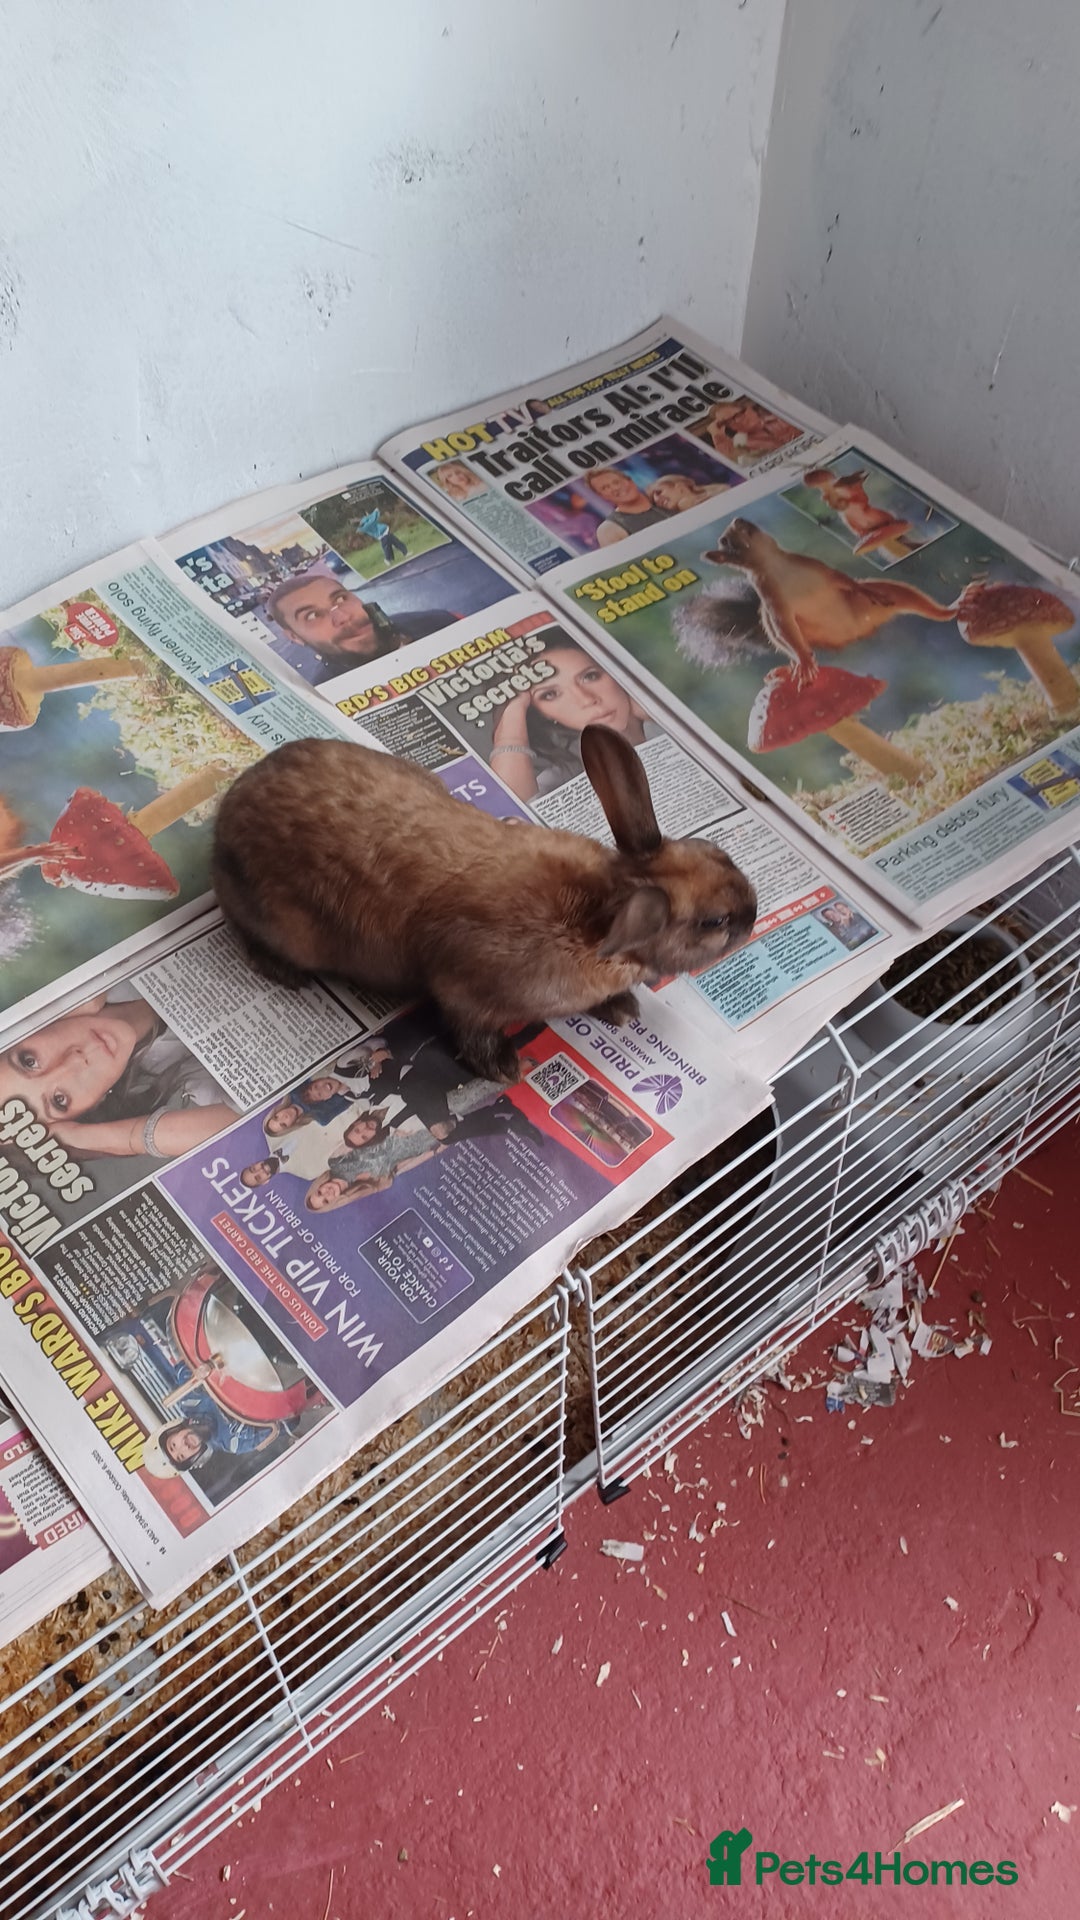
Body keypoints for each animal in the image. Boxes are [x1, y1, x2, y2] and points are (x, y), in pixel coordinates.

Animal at [211, 724, 757, 1083]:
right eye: (713, 922)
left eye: (720, 853)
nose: (752, 915)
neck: (600, 910)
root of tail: (226, 817)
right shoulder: (465, 988)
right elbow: (472, 1030)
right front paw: (505, 1069)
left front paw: (623, 1010)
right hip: (281, 923)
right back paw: (286, 973)